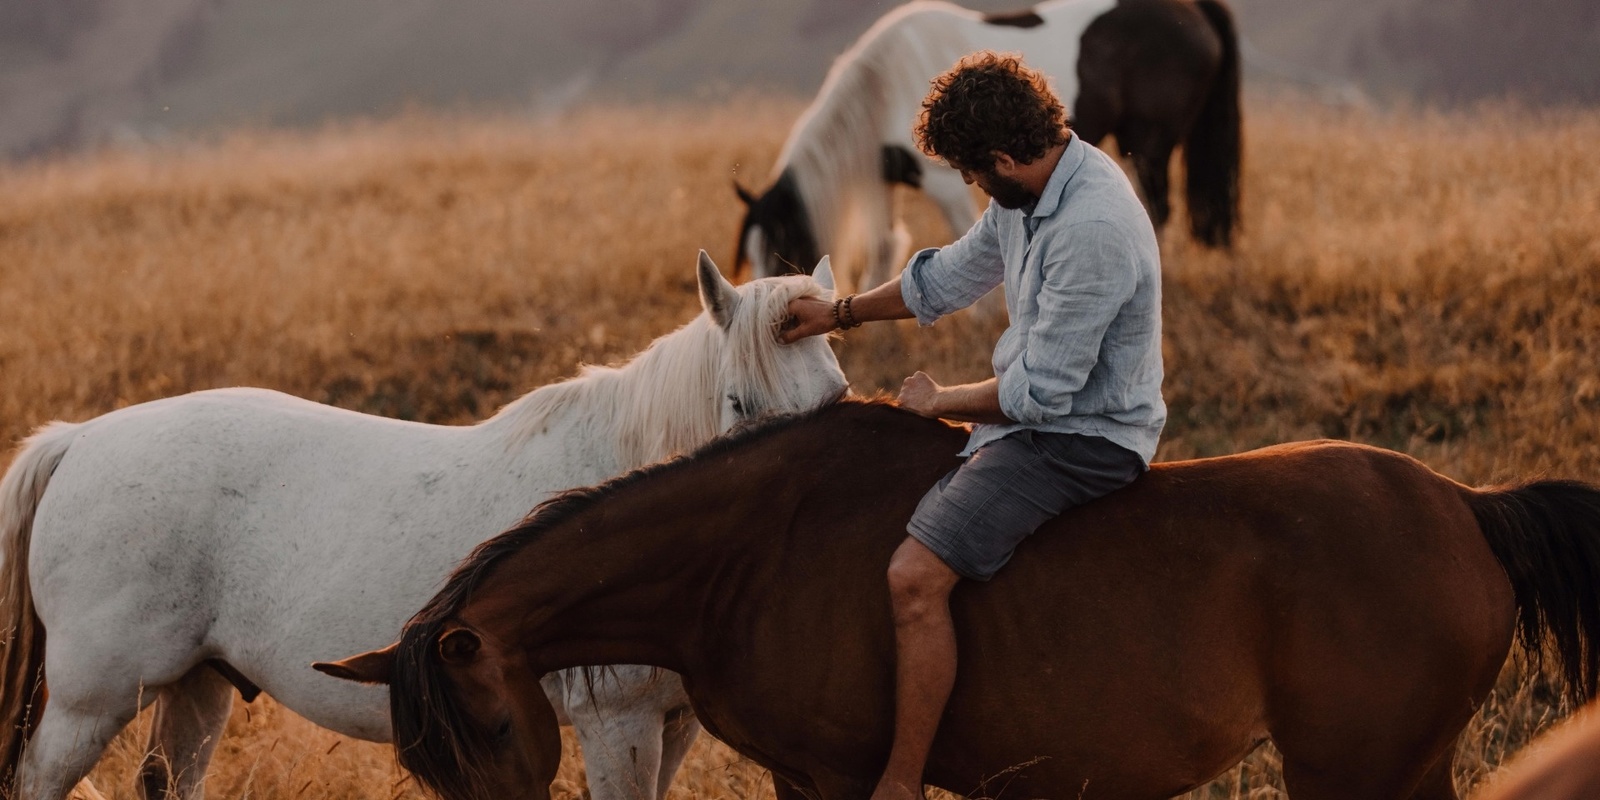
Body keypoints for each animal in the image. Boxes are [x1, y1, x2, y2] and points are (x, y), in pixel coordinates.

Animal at [0, 251, 851, 800]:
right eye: (739, 403)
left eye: (840, 398)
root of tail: (78, 439)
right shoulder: (618, 724)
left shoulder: (671, 726)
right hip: (92, 702)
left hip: (194, 685)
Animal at [324, 400, 1600, 800]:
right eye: (428, 762)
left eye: (498, 722)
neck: (747, 551)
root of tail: (1464, 503)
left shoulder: (838, 775)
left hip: (1354, 771)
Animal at [732, 0, 1241, 288]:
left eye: (781, 250)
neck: (882, 87)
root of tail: (1193, 10)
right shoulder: (883, 179)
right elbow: (883, 247)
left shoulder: (945, 182)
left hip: (1149, 142)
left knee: (1158, 211)